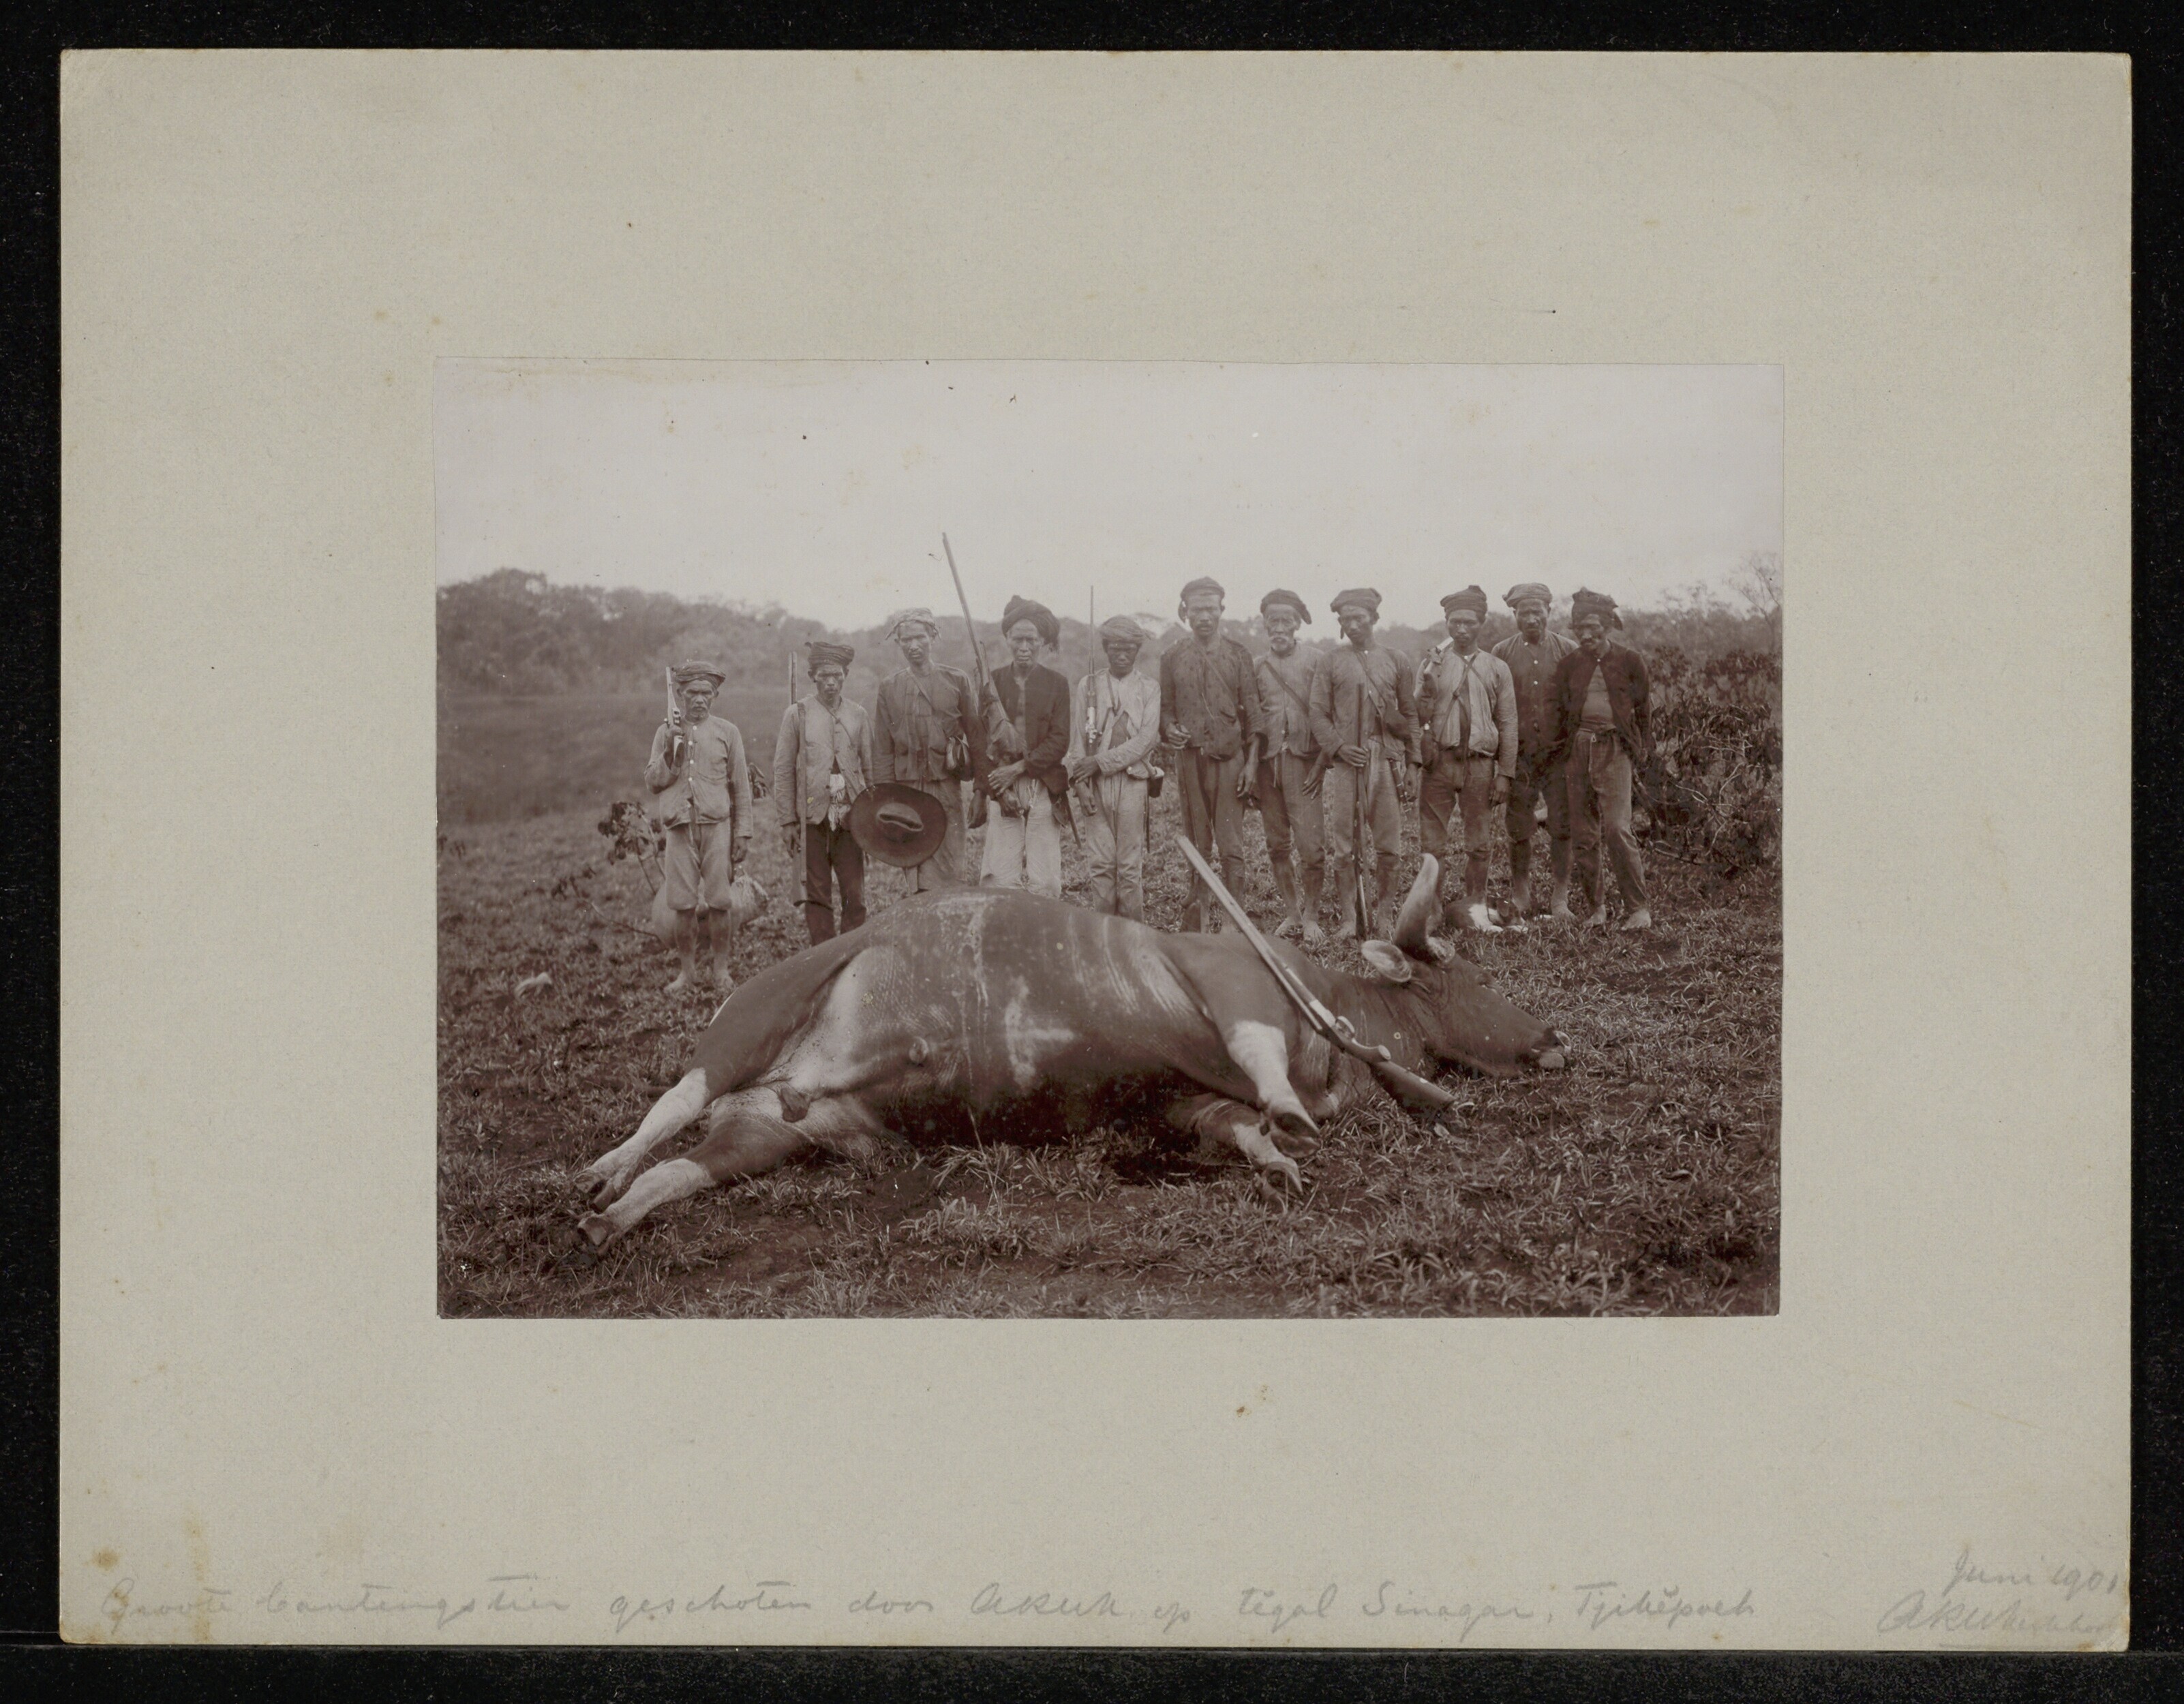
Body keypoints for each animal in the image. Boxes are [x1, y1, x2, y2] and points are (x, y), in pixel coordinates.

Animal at [571, 854, 1563, 1248]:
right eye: (1470, 973)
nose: (1553, 1036)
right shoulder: (1232, 980)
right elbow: (1263, 1067)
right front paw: (1291, 1114)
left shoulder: (1180, 1101)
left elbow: (1238, 1126)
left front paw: (1279, 1156)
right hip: (755, 1014)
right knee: (676, 1099)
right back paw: (600, 1171)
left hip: (774, 1134)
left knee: (691, 1164)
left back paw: (613, 1215)